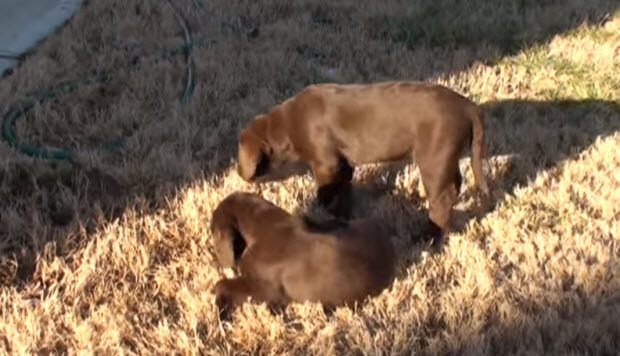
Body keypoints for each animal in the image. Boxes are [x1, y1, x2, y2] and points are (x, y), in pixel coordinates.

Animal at [236, 82, 490, 241]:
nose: (238, 172)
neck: (288, 125)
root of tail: (469, 107)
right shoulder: (343, 165)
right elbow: (342, 193)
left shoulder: (326, 164)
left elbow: (327, 195)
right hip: (445, 157)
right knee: (455, 185)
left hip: (433, 158)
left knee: (442, 199)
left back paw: (428, 237)